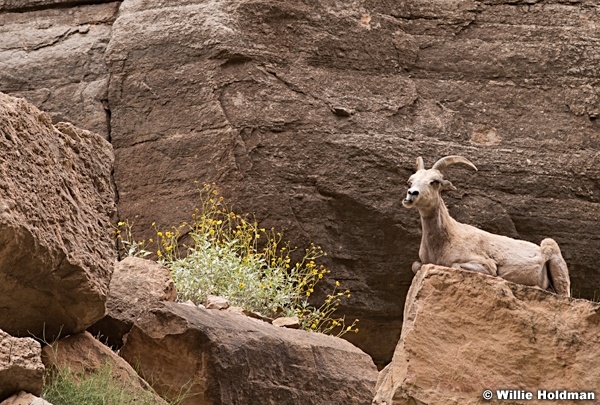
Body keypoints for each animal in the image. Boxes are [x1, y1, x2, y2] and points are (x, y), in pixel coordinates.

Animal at [404, 155, 572, 296]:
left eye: (435, 182)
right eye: (410, 181)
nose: (411, 194)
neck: (446, 239)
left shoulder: (485, 265)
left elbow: (456, 266)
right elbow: (415, 266)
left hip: (552, 252)